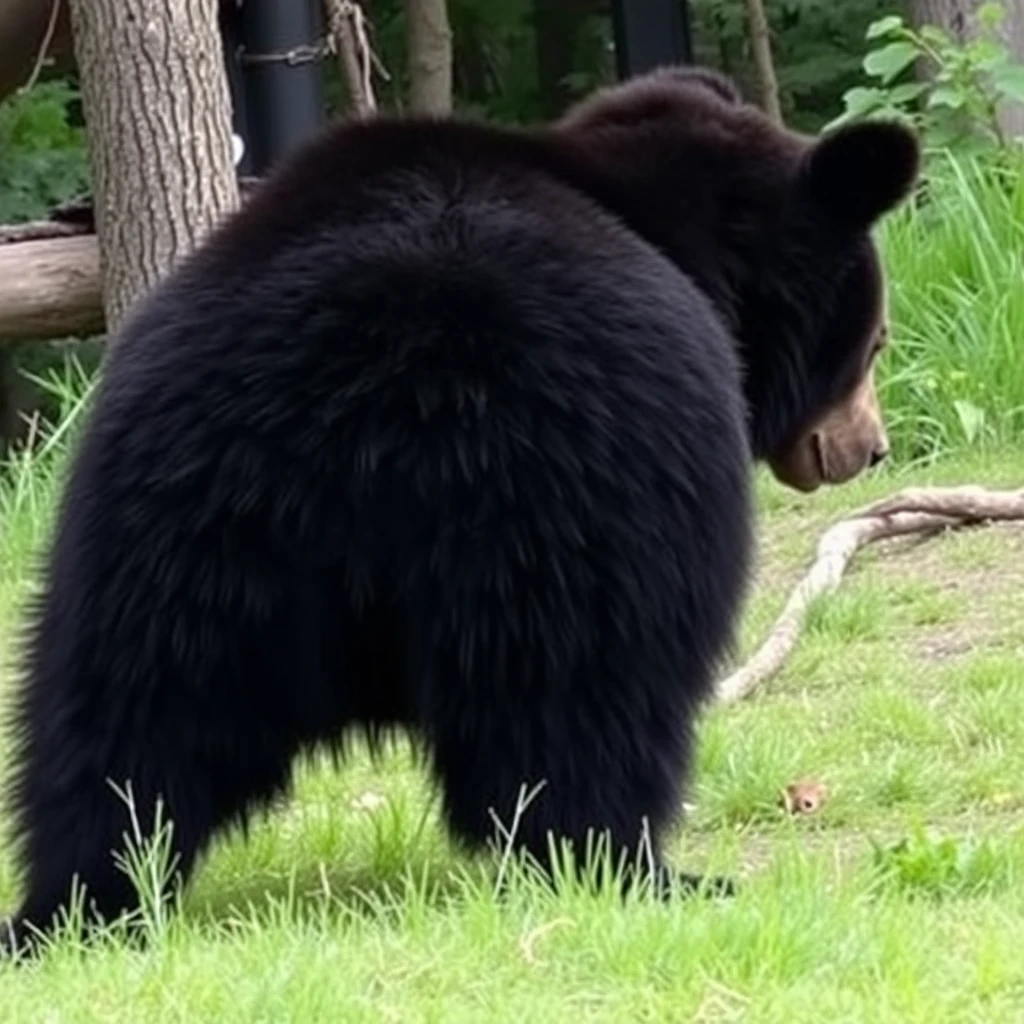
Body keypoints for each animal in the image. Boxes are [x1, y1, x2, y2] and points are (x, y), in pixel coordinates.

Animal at [0, 68, 917, 954]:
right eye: (872, 341)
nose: (869, 449)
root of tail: (369, 384)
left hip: (183, 508)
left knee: (132, 706)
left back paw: (82, 897)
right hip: (568, 486)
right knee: (582, 691)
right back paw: (631, 866)